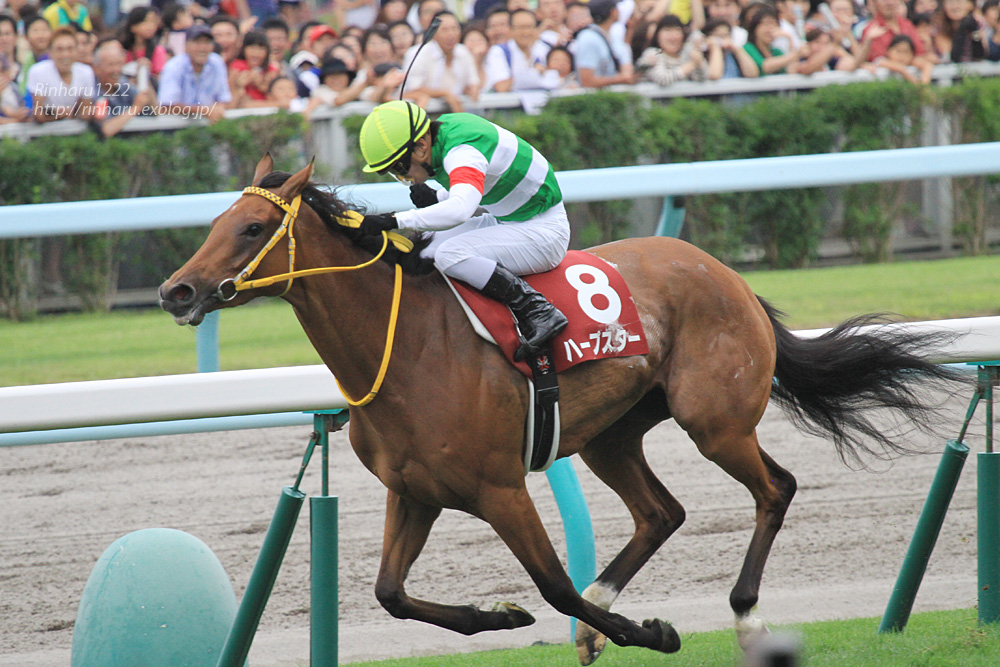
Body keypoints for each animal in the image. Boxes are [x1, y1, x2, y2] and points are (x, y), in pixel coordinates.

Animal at [160, 155, 956, 664]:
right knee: (662, 512)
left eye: (252, 230)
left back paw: (747, 619)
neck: (407, 345)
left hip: (715, 421)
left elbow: (554, 584)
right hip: (610, 436)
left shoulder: (500, 487)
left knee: (775, 488)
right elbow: (390, 592)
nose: (177, 291)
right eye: (216, 221)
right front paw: (503, 614)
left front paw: (650, 631)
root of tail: (727, 274)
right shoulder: (414, 491)